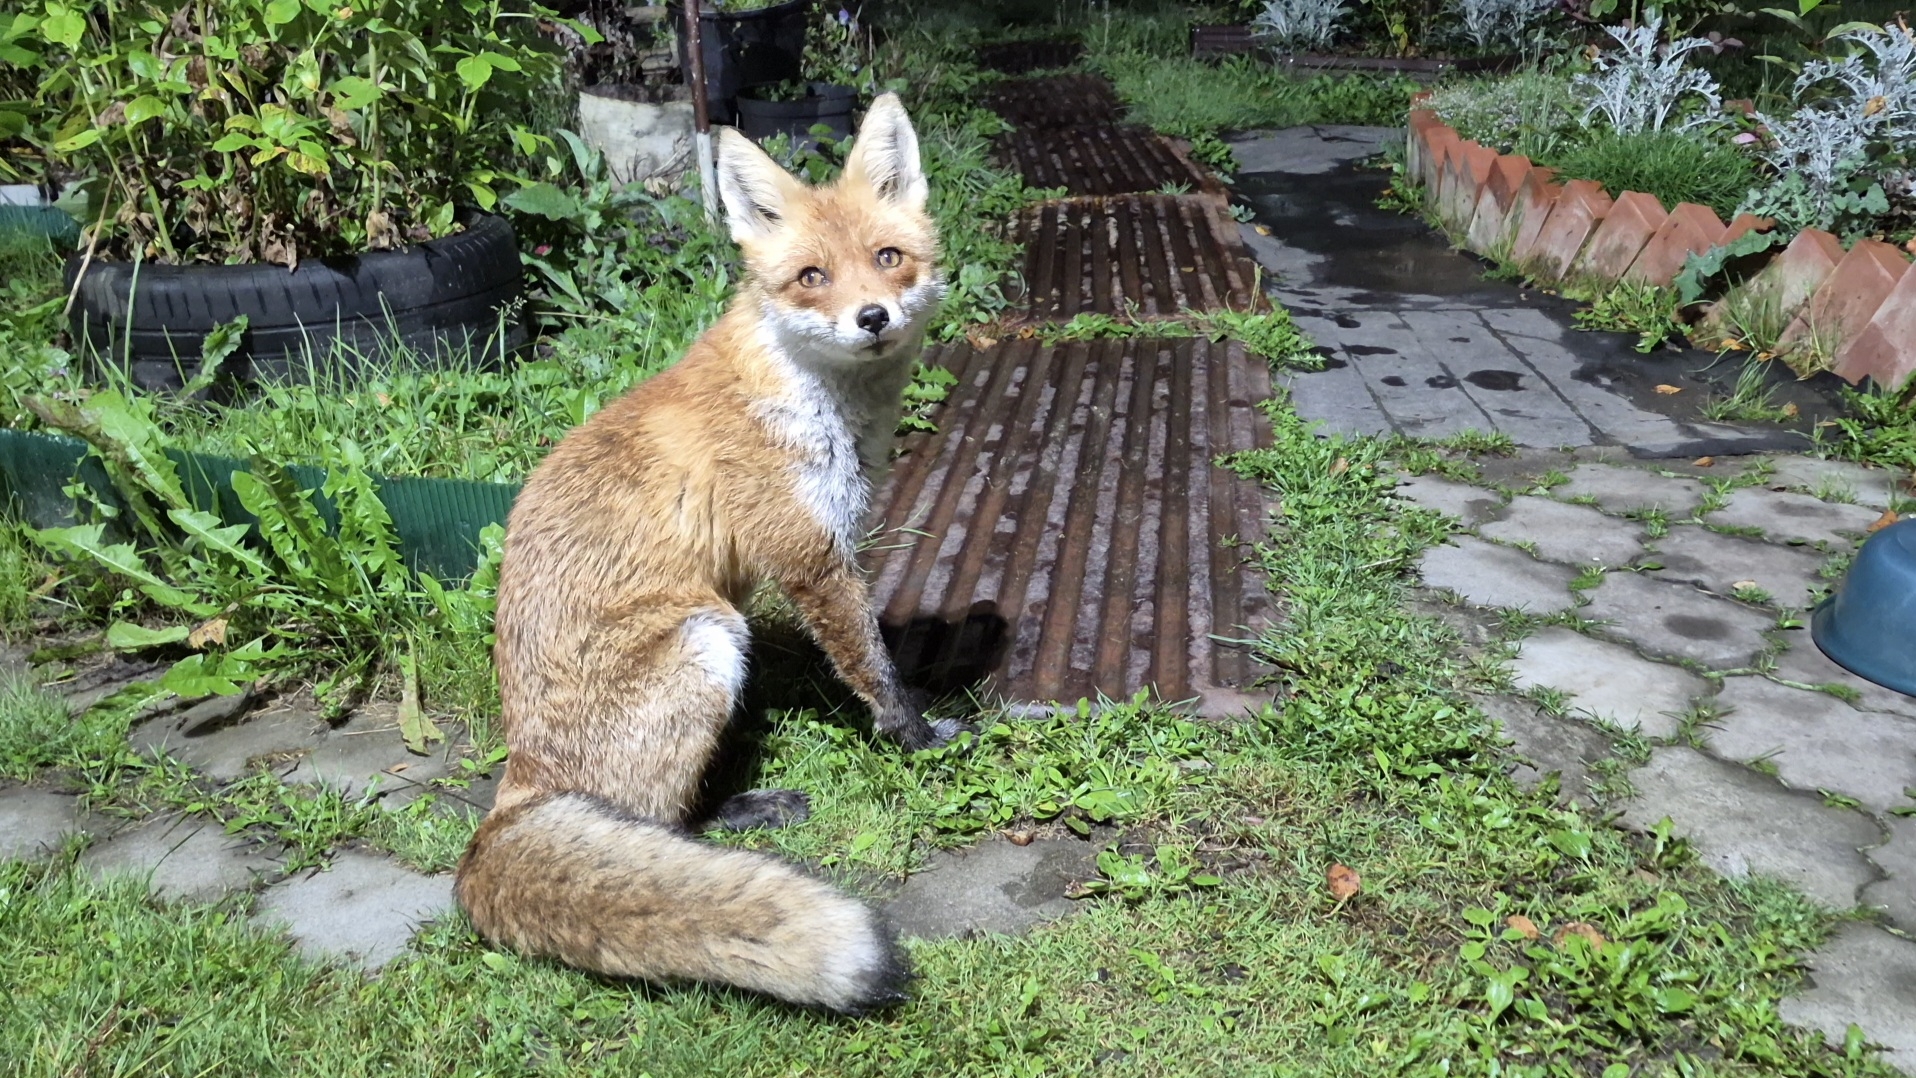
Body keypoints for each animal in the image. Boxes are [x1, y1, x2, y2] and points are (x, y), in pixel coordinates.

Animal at [453, 93, 959, 1015]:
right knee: (661, 822)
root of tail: (518, 787)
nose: (872, 318)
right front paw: (916, 739)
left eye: (888, 259)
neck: (811, 397)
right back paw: (739, 815)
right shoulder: (810, 560)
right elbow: (874, 669)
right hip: (708, 636)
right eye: (811, 277)